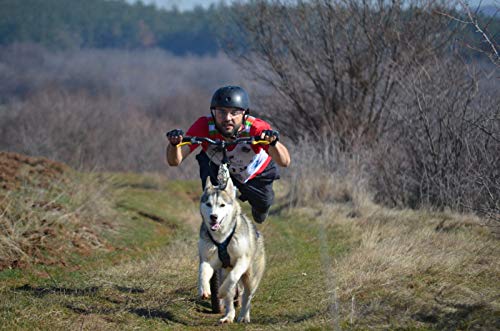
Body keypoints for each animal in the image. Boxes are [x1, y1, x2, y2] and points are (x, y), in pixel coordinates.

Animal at [197, 176, 266, 324]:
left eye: (222, 205)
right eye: (209, 204)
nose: (213, 216)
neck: (221, 237)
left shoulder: (243, 260)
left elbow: (234, 276)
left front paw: (221, 291)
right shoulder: (207, 259)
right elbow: (202, 272)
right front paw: (204, 289)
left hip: (250, 277)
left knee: (246, 296)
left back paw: (244, 316)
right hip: (224, 272)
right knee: (230, 297)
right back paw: (228, 316)